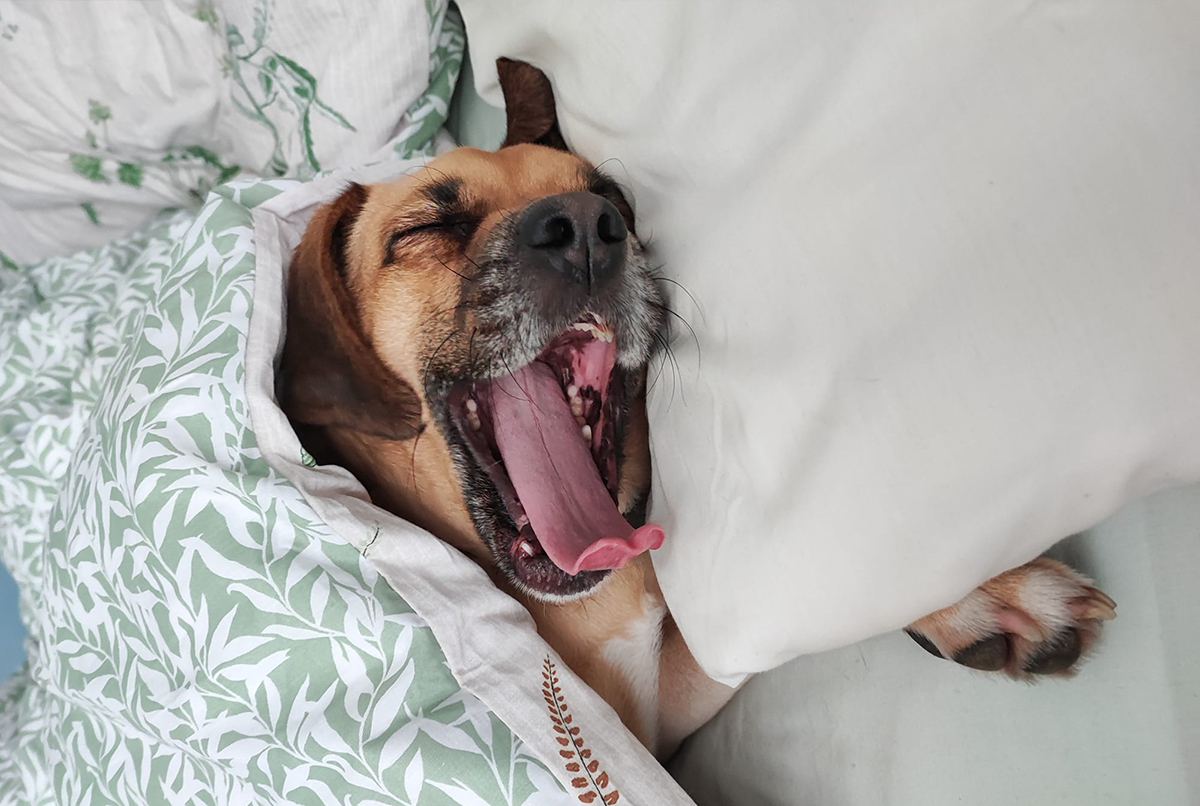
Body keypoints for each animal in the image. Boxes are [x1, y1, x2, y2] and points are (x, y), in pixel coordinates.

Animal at [278, 59, 1113, 758]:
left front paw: (981, 592)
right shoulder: (633, 734)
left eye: (612, 200)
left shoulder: (664, 700)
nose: (586, 226)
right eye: (426, 227)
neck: (601, 594)